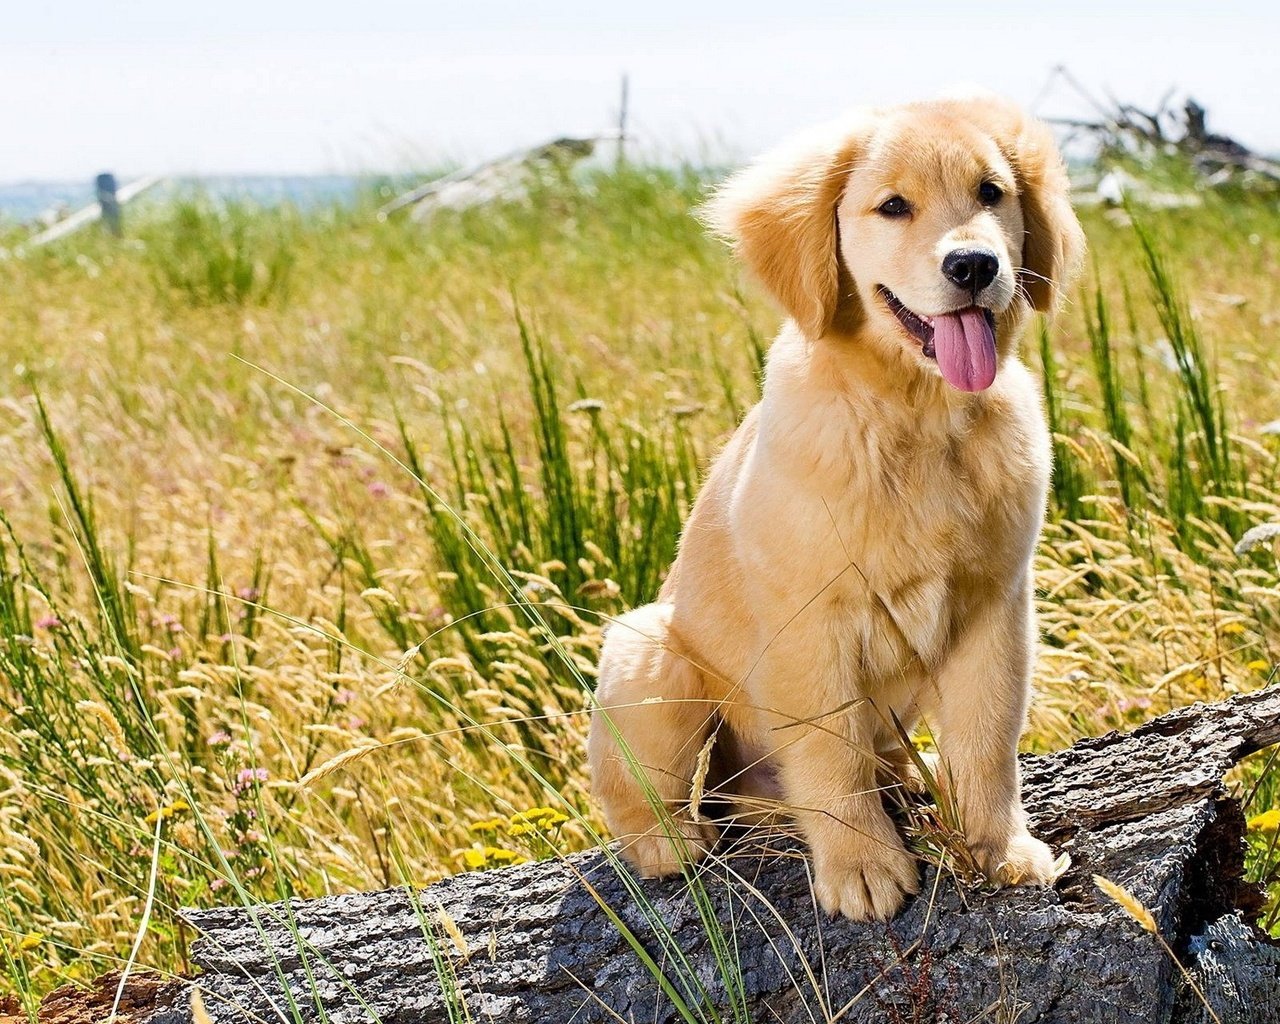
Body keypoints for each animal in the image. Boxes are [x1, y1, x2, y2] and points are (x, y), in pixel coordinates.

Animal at [586, 96, 1080, 921]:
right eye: (893, 206)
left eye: (991, 193)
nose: (974, 266)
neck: (917, 416)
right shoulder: (810, 624)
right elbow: (828, 750)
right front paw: (861, 866)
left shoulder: (996, 607)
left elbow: (987, 741)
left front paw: (998, 848)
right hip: (650, 652)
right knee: (642, 791)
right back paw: (667, 844)